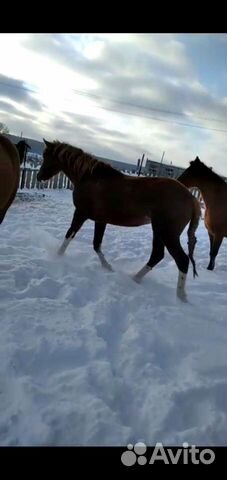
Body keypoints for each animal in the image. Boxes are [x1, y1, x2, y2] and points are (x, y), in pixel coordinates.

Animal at [36, 139, 200, 302]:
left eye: (46, 156)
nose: (39, 176)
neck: (90, 178)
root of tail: (191, 198)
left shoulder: (81, 214)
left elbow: (70, 235)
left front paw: (57, 256)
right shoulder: (100, 220)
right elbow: (96, 244)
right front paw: (107, 267)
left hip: (167, 233)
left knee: (181, 260)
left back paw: (180, 296)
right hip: (159, 230)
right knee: (157, 255)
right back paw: (136, 278)